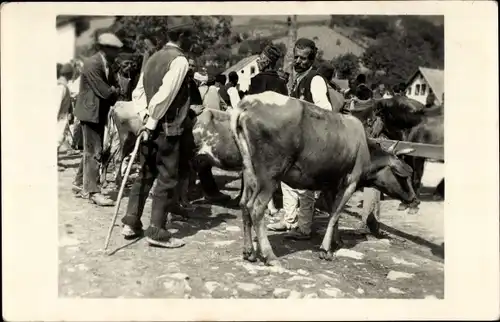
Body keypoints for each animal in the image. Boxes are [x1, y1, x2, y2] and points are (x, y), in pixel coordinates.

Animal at [230, 91, 418, 266]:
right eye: (403, 176)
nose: (414, 199)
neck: (365, 149)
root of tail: (249, 103)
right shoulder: (350, 183)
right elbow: (335, 214)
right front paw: (326, 249)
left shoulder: (330, 185)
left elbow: (333, 215)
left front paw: (337, 241)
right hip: (270, 176)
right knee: (256, 207)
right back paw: (269, 256)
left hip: (249, 173)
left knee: (244, 204)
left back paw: (249, 251)